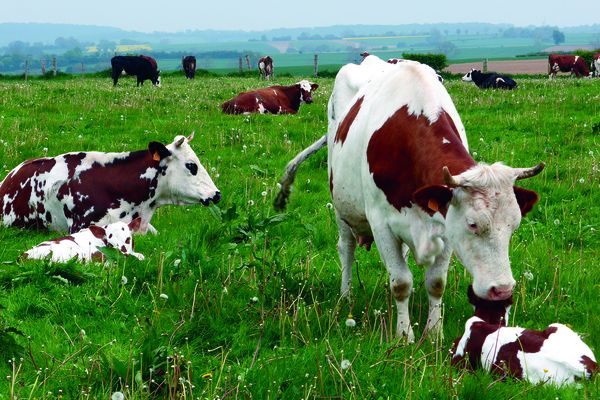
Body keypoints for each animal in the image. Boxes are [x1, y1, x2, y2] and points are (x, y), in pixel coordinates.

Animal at [276, 58, 544, 340]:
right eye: (472, 224)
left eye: (514, 226)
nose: (502, 290)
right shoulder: (381, 223)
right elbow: (401, 282)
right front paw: (404, 335)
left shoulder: (445, 225)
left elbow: (436, 282)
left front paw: (434, 332)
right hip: (342, 207)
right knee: (346, 249)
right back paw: (346, 295)